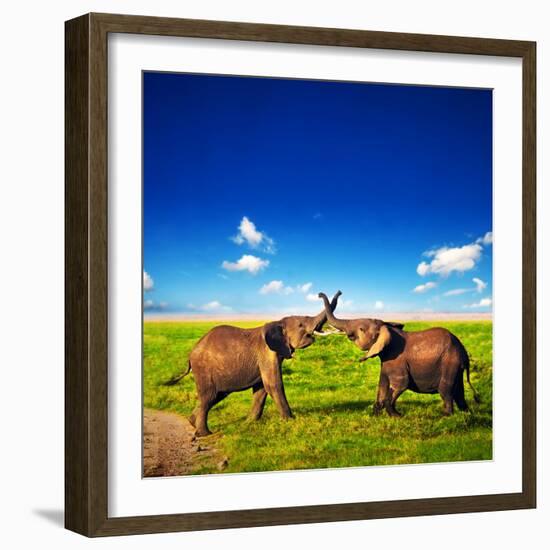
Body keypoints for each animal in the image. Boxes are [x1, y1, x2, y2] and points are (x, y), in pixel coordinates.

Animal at [164, 292, 342, 438]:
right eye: (300, 325)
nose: (320, 294)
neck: (278, 322)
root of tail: (191, 354)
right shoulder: (267, 353)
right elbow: (273, 385)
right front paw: (290, 421)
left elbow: (261, 389)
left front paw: (249, 423)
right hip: (203, 369)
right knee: (208, 396)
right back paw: (205, 434)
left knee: (215, 396)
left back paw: (191, 422)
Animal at [320, 294, 478, 418]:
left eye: (361, 329)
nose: (320, 294)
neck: (387, 328)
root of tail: (463, 351)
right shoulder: (386, 361)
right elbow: (382, 385)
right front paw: (375, 415)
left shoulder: (397, 361)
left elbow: (401, 384)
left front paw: (397, 416)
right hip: (456, 366)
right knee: (458, 391)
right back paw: (466, 413)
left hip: (450, 362)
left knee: (446, 390)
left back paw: (445, 416)